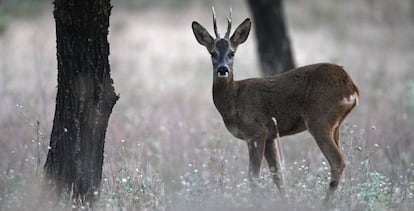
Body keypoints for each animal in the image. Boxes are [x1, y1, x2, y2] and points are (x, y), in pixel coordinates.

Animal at [192, 8, 358, 203]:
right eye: (212, 53)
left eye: (232, 53)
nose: (223, 69)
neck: (234, 100)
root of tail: (351, 88)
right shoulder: (270, 134)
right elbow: (278, 175)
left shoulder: (256, 131)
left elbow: (253, 176)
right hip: (336, 124)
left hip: (320, 119)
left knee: (338, 162)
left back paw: (324, 203)